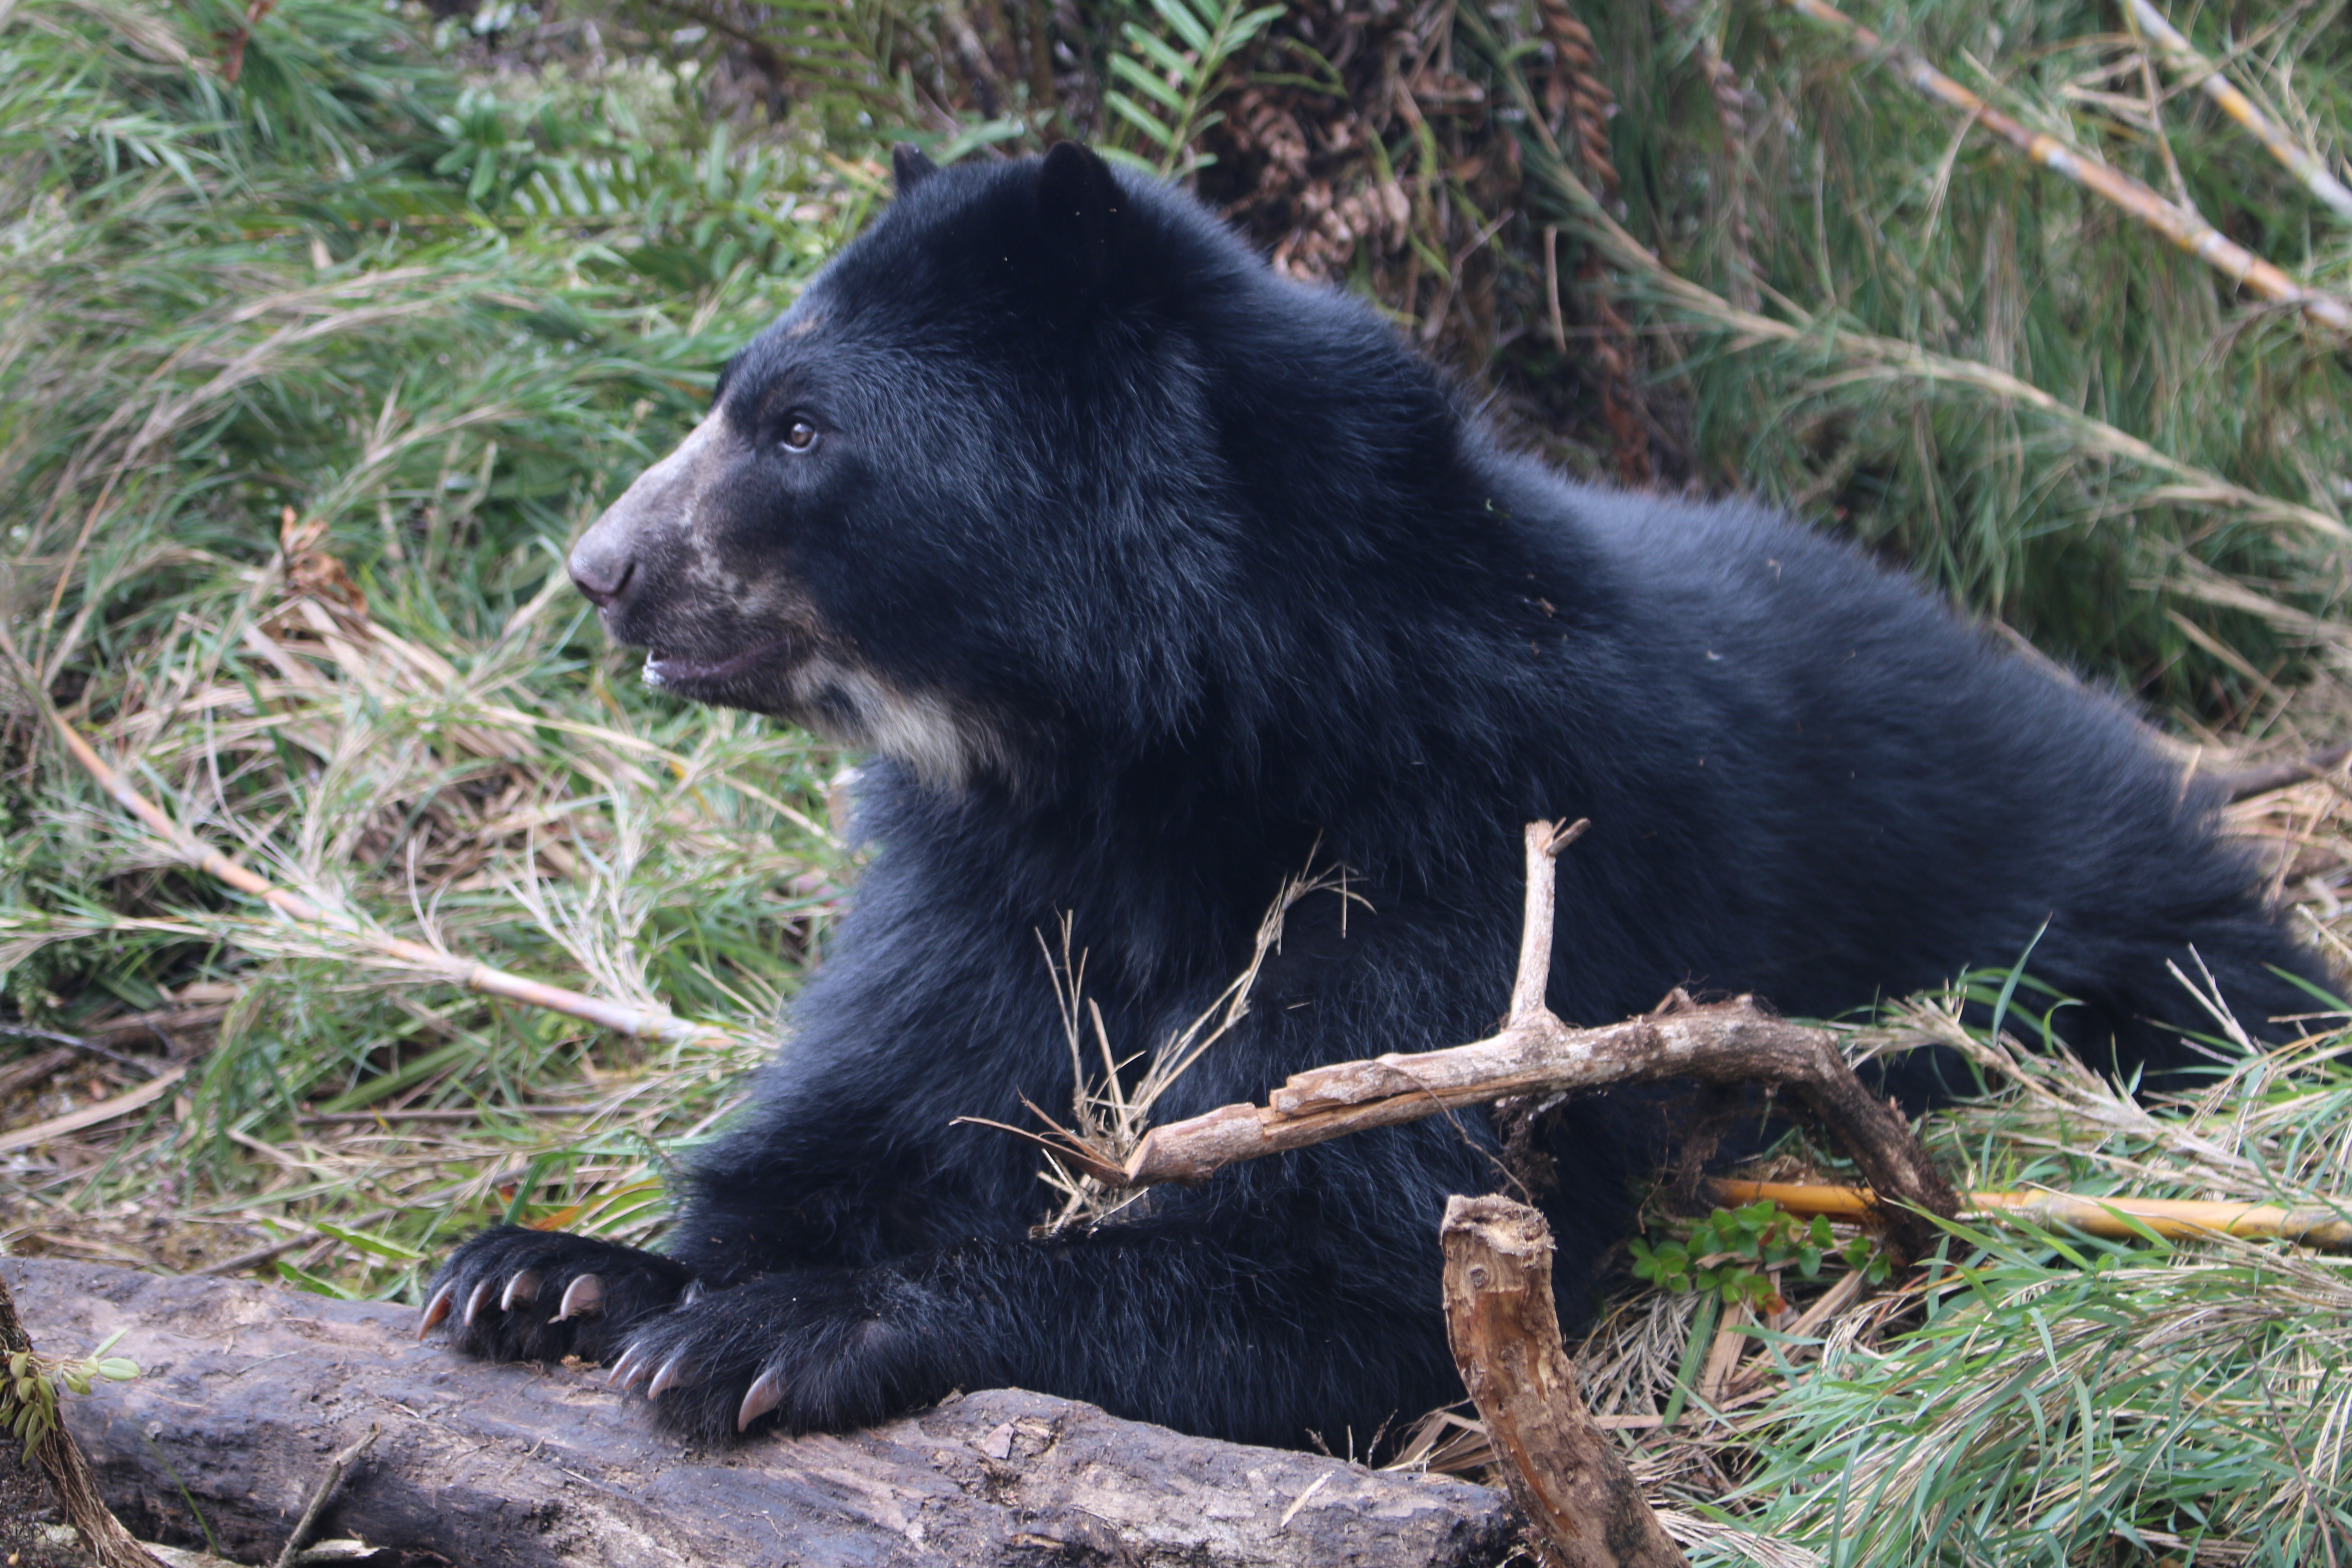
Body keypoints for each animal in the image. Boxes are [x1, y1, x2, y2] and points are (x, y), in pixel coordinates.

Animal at [421, 141, 2330, 1452]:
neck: (1140, 746)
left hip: (2100, 933)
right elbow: (886, 1100)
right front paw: (547, 1267)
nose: (601, 572)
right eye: (739, 398)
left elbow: (1349, 1238)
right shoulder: (990, 883)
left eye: (803, 430)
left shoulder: (1473, 842)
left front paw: (778, 1332)